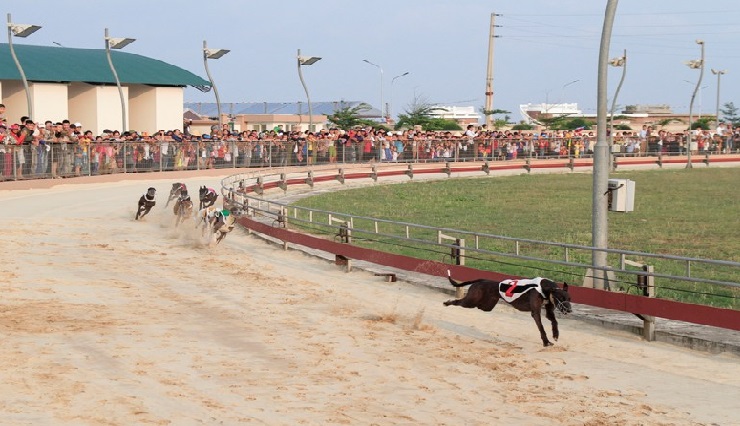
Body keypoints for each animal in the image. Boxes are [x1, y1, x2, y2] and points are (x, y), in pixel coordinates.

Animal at [443, 271, 572, 347]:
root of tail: (482, 280)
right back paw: (447, 303)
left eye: (569, 298)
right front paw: (546, 342)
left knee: (478, 307)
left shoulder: (548, 309)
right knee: (458, 302)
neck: (545, 289)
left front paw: (555, 335)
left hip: (486, 305)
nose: (570, 310)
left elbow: (554, 321)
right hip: (471, 301)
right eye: (561, 297)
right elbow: (541, 328)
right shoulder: (535, 312)